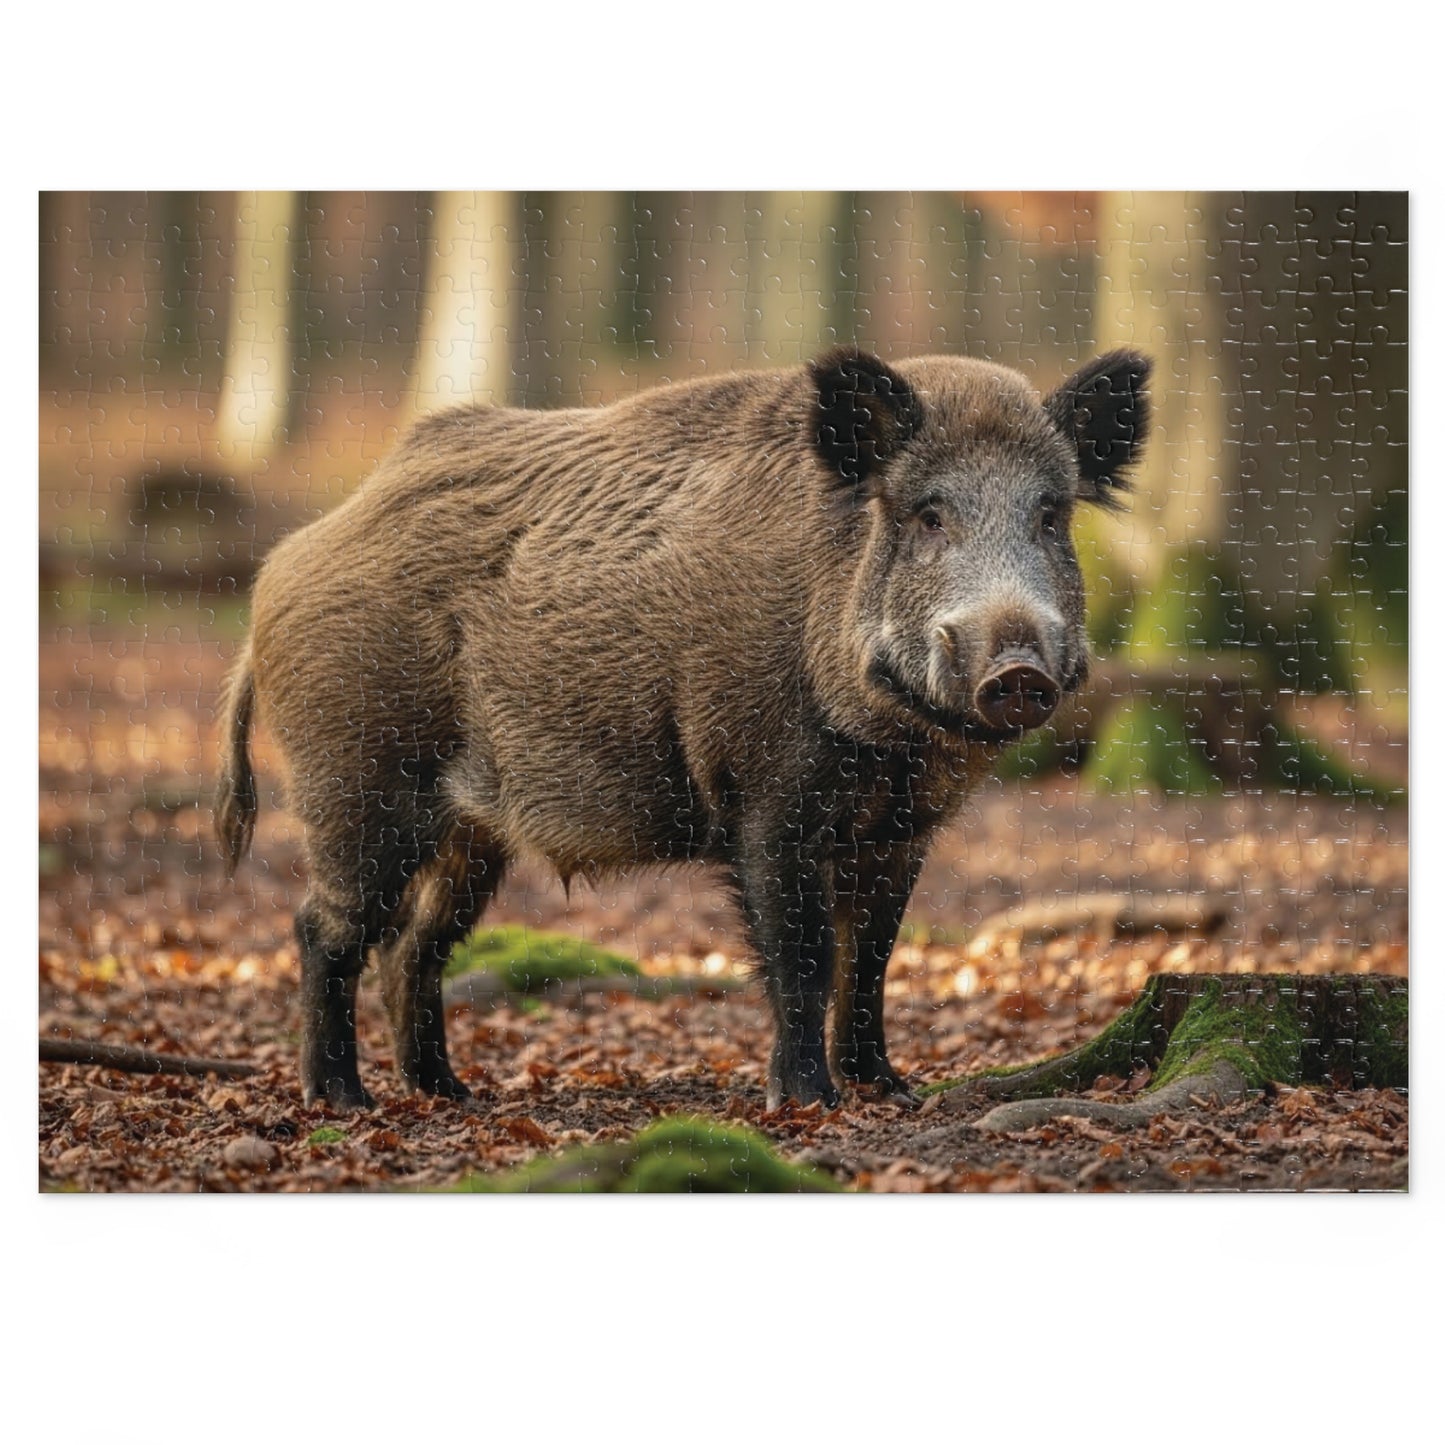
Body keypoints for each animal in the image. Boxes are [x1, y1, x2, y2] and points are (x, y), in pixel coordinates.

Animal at [215, 347, 1150, 1110]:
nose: (1017, 669)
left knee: (412, 945)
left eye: (1051, 514)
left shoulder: (900, 829)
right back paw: (343, 1099)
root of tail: (279, 568)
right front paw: (807, 1102)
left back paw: (449, 1092)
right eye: (927, 514)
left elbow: (873, 957)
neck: (893, 747)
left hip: (470, 831)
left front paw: (889, 1088)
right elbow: (803, 954)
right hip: (357, 777)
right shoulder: (765, 796)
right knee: (324, 928)